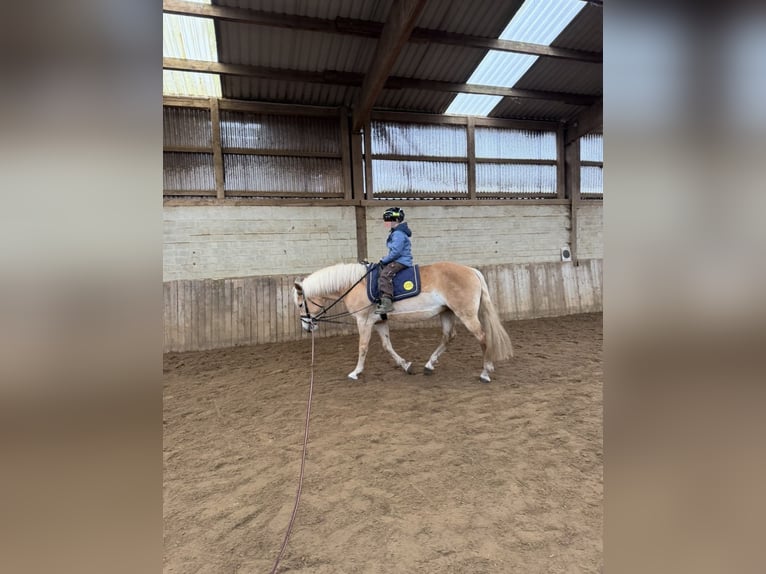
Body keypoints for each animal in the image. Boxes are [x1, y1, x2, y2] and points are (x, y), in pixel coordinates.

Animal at [292, 262, 513, 382]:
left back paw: (485, 372)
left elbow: (363, 347)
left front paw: (356, 372)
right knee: (448, 337)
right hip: (447, 312)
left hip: (465, 314)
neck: (355, 284)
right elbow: (387, 346)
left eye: (301, 304)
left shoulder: (364, 321)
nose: (307, 327)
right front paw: (406, 365)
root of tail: (471, 270)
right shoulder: (379, 321)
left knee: (483, 337)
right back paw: (429, 365)